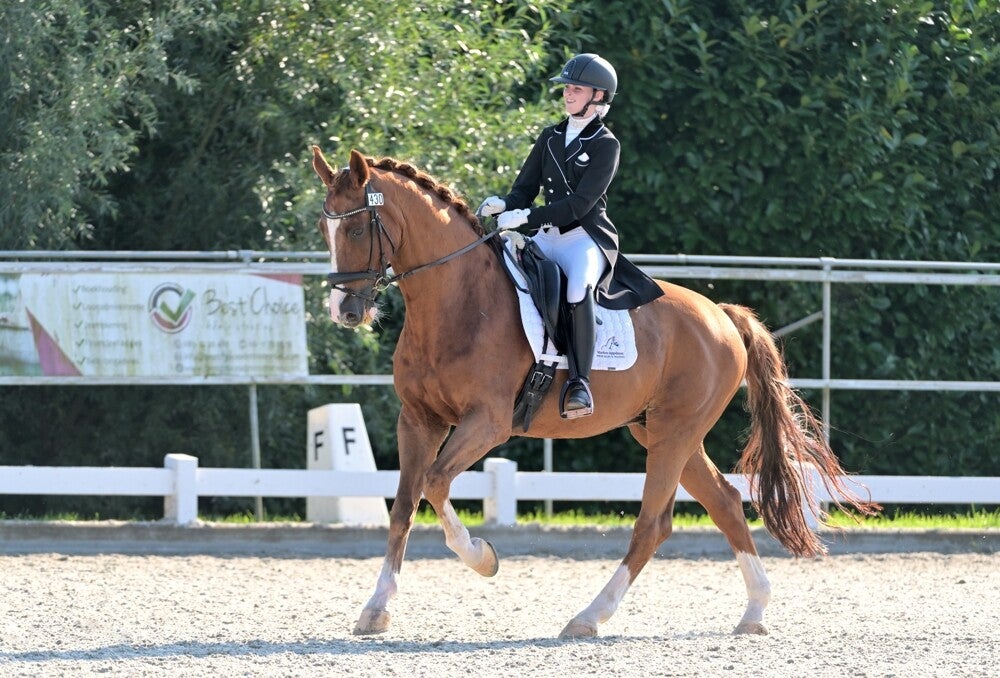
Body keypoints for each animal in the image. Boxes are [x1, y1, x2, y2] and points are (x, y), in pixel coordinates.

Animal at [311, 146, 877, 639]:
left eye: (358, 226)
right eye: (325, 227)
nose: (345, 312)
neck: (457, 301)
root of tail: (721, 315)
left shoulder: (487, 423)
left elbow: (434, 484)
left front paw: (484, 558)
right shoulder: (418, 420)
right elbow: (405, 504)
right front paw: (376, 609)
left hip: (673, 432)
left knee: (653, 523)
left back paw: (588, 617)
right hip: (663, 432)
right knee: (725, 501)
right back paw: (754, 611)